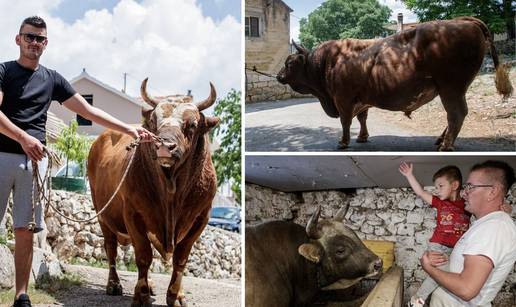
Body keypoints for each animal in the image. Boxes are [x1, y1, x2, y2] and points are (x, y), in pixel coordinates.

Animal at [87, 80, 220, 307]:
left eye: (192, 124)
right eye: (154, 120)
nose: (165, 146)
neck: (171, 191)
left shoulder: (201, 218)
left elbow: (180, 259)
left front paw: (176, 295)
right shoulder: (133, 214)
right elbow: (143, 256)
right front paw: (140, 296)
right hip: (103, 215)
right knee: (111, 248)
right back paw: (114, 284)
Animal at [278, 17, 512, 152]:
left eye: (289, 63)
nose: (279, 76)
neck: (328, 61)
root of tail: (464, 22)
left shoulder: (342, 99)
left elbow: (346, 121)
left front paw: (343, 142)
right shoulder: (361, 100)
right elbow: (362, 118)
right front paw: (362, 137)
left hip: (451, 89)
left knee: (456, 113)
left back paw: (446, 145)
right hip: (452, 90)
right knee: (455, 115)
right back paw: (441, 140)